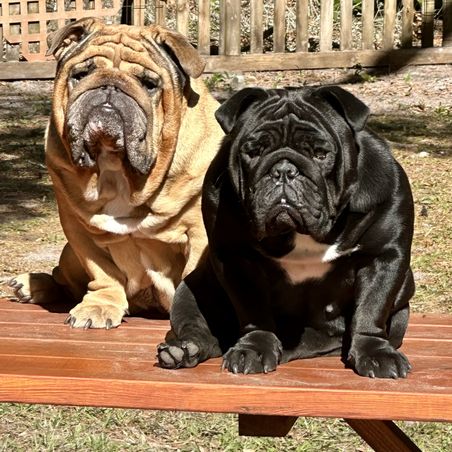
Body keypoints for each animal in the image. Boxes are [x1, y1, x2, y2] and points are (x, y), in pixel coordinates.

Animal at [8, 18, 223, 329]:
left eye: (149, 84)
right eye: (81, 74)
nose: (110, 87)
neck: (119, 172)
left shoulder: (200, 234)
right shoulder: (78, 230)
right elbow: (103, 273)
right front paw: (99, 306)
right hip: (69, 254)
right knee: (65, 280)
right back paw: (30, 284)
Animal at [157, 86, 415, 378]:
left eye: (320, 153)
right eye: (253, 151)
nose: (283, 170)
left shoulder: (383, 256)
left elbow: (372, 308)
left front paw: (375, 352)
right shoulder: (236, 258)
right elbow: (253, 311)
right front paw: (254, 348)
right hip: (189, 290)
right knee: (202, 329)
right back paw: (182, 349)